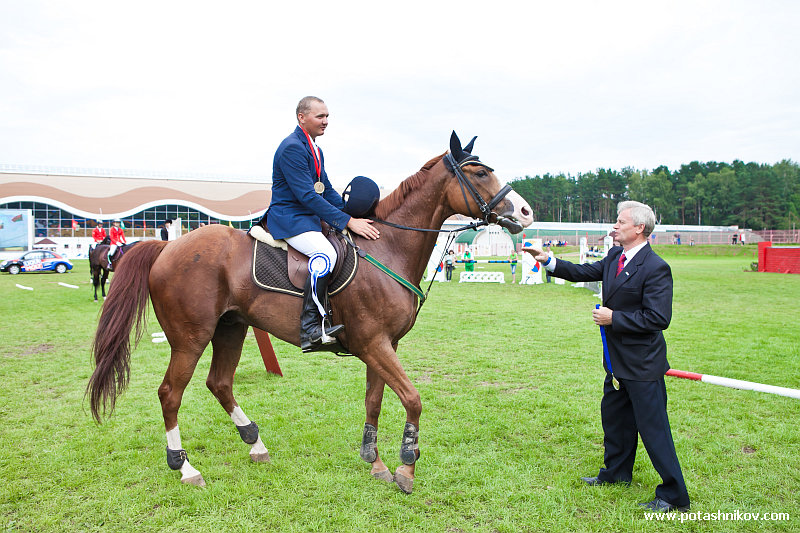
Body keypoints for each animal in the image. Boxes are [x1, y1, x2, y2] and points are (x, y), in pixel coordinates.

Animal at [87, 132, 534, 493]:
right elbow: (413, 398)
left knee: (220, 383)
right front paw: (406, 468)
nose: (526, 213)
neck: (387, 246)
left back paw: (256, 444)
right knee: (170, 393)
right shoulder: (374, 344)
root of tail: (167, 247)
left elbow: (375, 401)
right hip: (190, 338)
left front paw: (375, 463)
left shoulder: (382, 346)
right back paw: (185, 469)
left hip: (230, 329)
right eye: (479, 173)